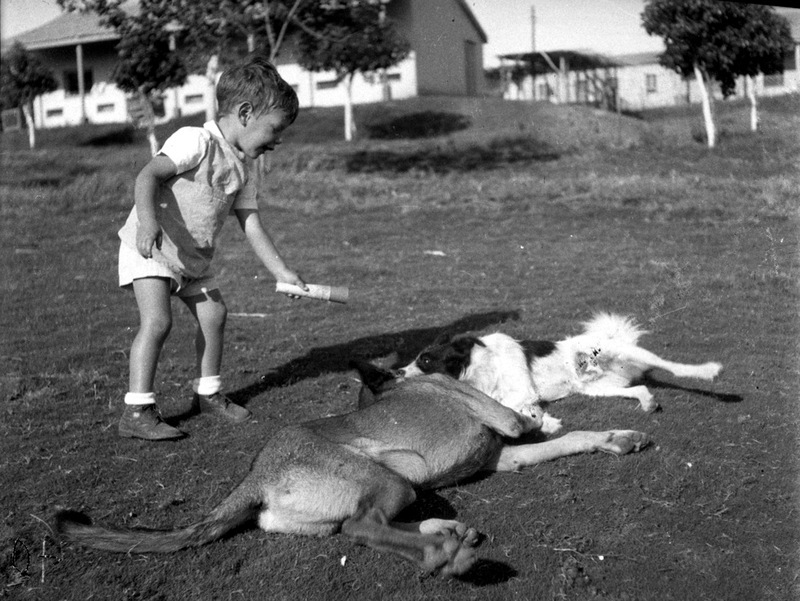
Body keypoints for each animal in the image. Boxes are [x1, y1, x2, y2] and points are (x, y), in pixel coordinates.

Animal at [54, 362, 649, 577]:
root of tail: (256, 476)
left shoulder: (506, 454)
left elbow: (566, 441)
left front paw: (616, 438)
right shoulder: (498, 419)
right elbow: (526, 421)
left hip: (395, 487)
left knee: (366, 525)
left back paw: (447, 532)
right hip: (383, 475)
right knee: (362, 528)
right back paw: (446, 554)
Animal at [399, 313, 723, 413]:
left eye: (425, 359)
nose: (396, 371)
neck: (477, 365)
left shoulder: (522, 390)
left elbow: (508, 404)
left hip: (621, 352)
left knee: (673, 366)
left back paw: (709, 372)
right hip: (597, 389)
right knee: (640, 388)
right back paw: (647, 402)